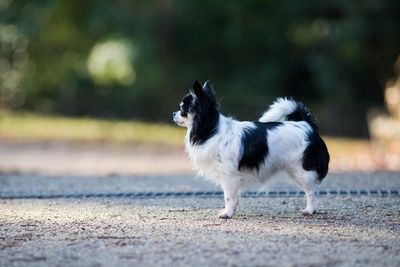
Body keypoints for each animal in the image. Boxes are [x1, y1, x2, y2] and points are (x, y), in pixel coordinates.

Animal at [173, 80, 330, 219]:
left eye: (182, 110)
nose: (173, 114)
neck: (210, 129)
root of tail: (306, 125)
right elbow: (234, 197)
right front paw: (232, 210)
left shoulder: (229, 176)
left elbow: (228, 197)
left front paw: (227, 214)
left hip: (303, 171)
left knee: (311, 192)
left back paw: (309, 210)